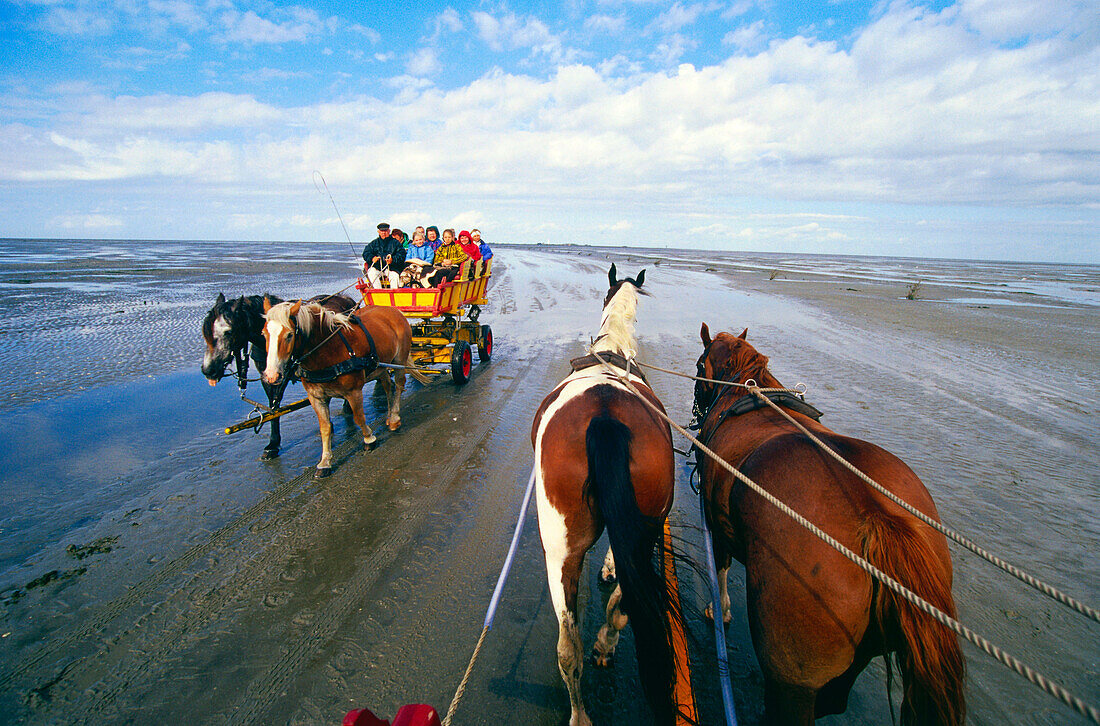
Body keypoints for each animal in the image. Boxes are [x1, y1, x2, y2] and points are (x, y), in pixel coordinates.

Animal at [203, 290, 356, 457]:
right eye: (205, 331)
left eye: (228, 331)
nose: (208, 370)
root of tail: (343, 297)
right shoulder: (269, 376)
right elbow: (273, 407)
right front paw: (273, 443)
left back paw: (348, 407)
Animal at [259, 297, 426, 479]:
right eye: (264, 334)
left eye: (289, 335)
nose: (271, 375)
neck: (328, 351)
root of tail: (393, 310)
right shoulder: (316, 397)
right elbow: (325, 428)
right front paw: (325, 461)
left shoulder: (353, 392)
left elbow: (359, 418)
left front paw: (369, 439)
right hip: (380, 366)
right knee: (388, 387)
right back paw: (389, 415)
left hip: (399, 359)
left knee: (400, 384)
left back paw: (395, 418)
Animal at [530, 266, 677, 726]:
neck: (611, 351)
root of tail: (605, 416)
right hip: (646, 527)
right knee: (619, 608)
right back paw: (605, 647)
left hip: (559, 551)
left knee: (568, 646)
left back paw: (580, 708)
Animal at [695, 325, 963, 726]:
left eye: (699, 366)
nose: (697, 413)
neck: (743, 391)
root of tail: (876, 517)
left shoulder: (717, 520)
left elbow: (722, 568)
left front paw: (720, 609)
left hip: (794, 680)